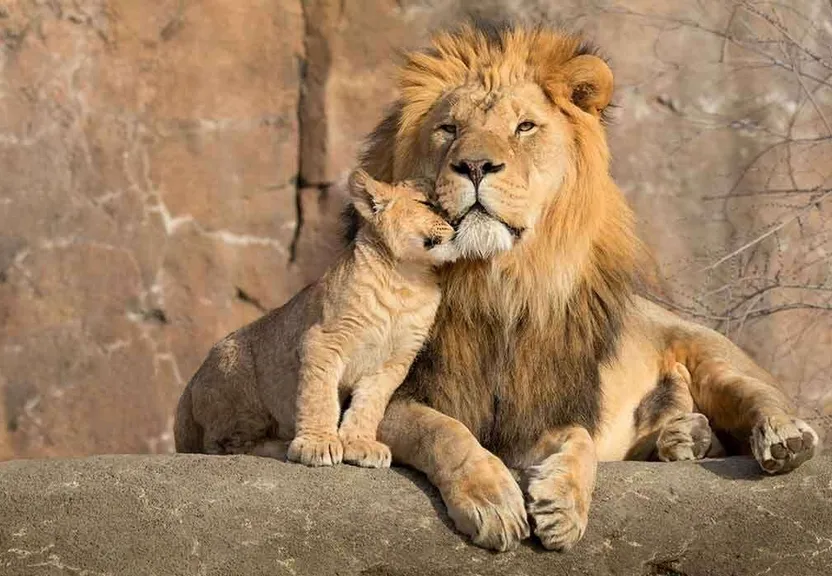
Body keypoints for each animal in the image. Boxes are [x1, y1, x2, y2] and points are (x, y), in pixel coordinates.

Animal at [176, 21, 820, 552]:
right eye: (449, 129)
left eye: (524, 126)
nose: (476, 165)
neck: (499, 285)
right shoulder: (408, 394)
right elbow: (447, 433)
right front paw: (494, 502)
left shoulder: (546, 403)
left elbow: (580, 443)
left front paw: (563, 507)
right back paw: (685, 437)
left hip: (708, 349)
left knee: (757, 394)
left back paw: (779, 438)